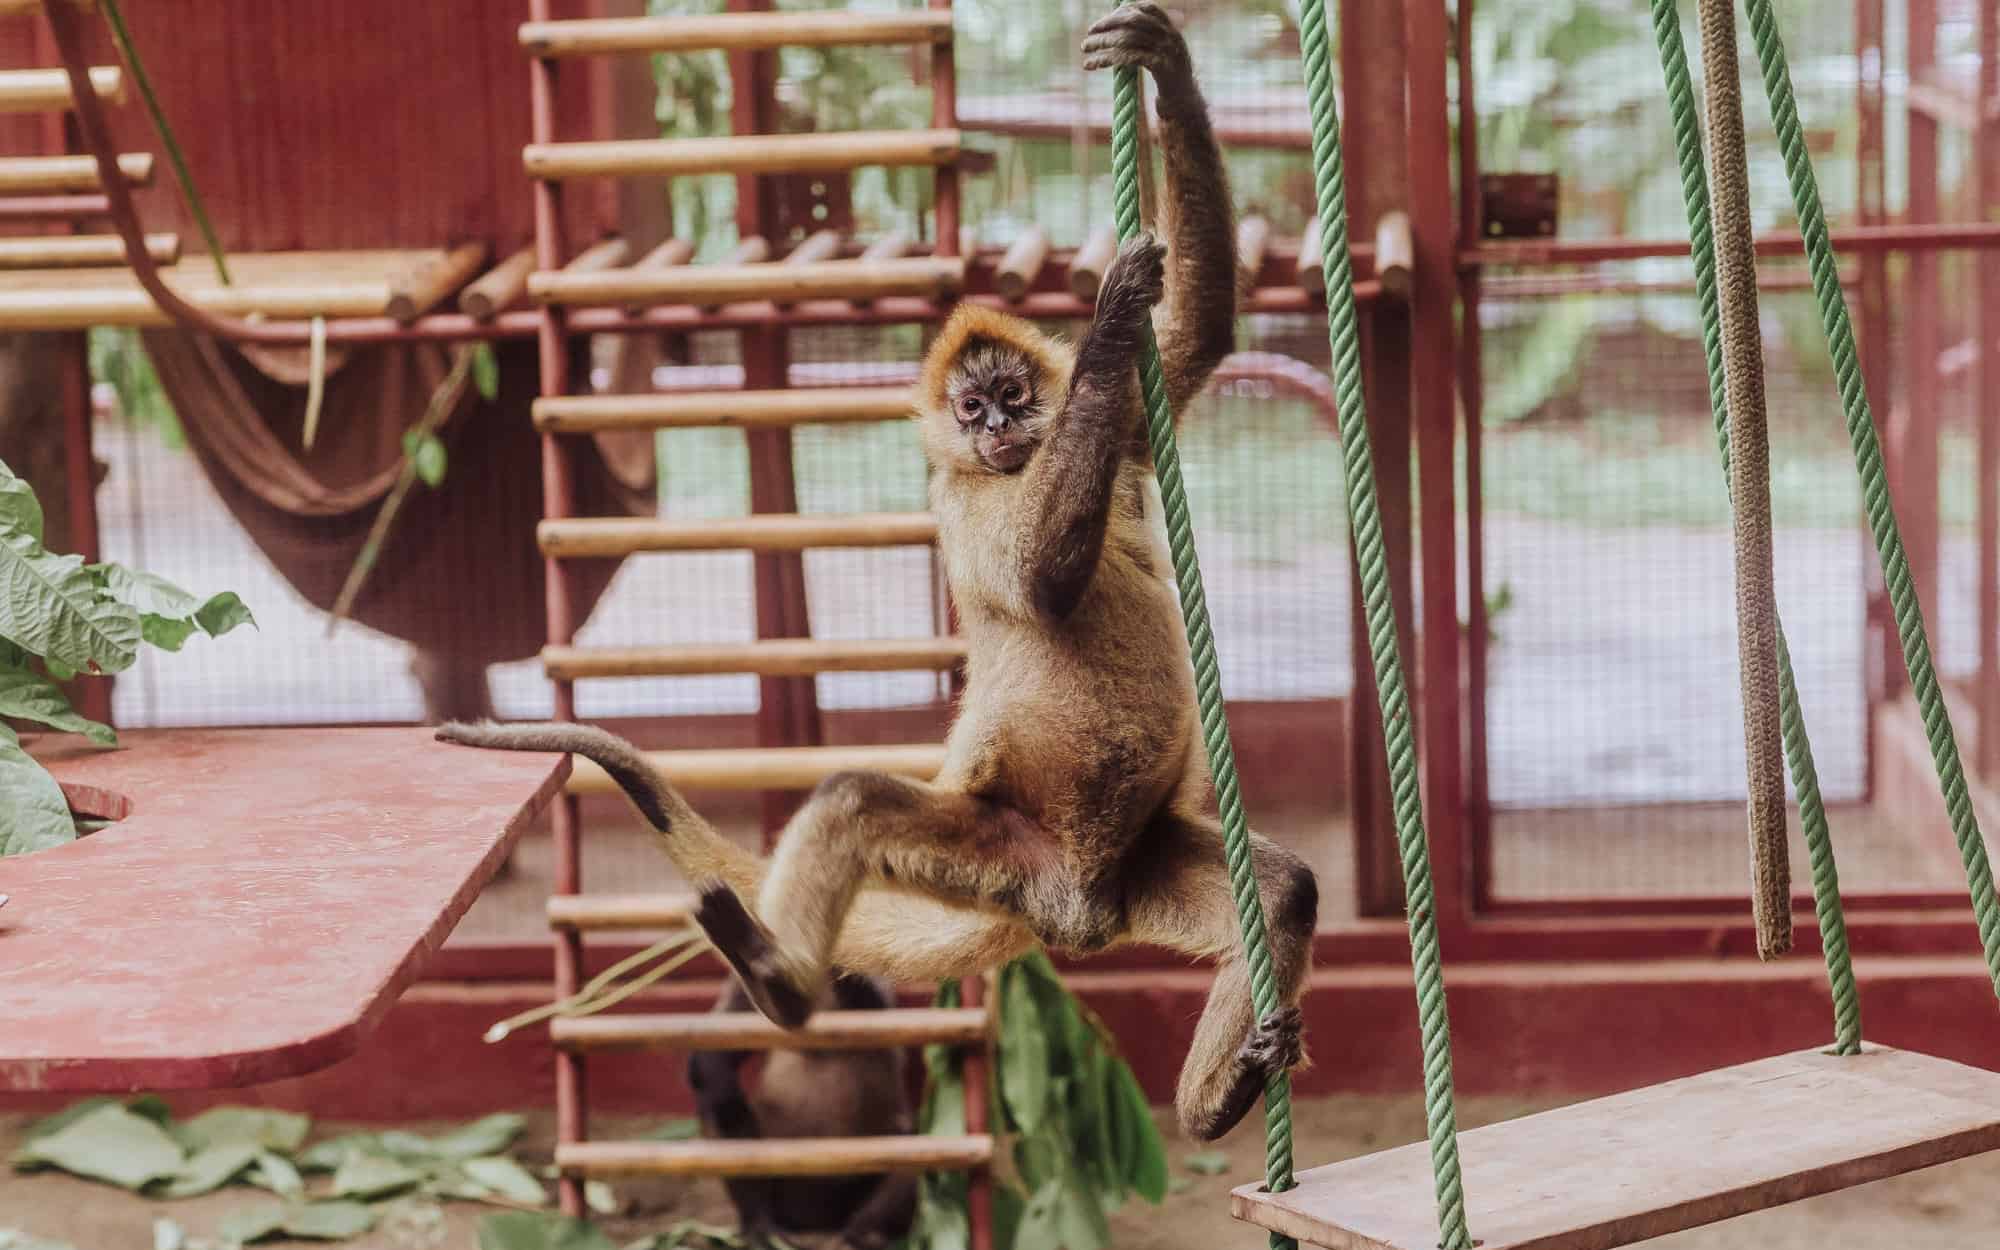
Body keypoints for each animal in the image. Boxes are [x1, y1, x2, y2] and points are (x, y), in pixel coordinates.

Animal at [439, 1, 1317, 1145]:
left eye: (1008, 398)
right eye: (970, 410)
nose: (992, 429)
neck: (1017, 463)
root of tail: (1078, 908)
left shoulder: (1115, 426)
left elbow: (1202, 331)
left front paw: (1161, 61)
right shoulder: (960, 499)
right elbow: (1035, 580)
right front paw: (1112, 312)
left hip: (1138, 864)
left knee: (1289, 888)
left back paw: (1214, 1099)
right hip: (995, 849)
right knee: (855, 801)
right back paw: (781, 983)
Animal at [686, 973, 916, 1250]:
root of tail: (817, 1220)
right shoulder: (742, 988)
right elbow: (714, 1053)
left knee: (909, 1148)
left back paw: (865, 1231)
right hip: (785, 1190)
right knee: (724, 1118)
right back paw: (760, 1226)